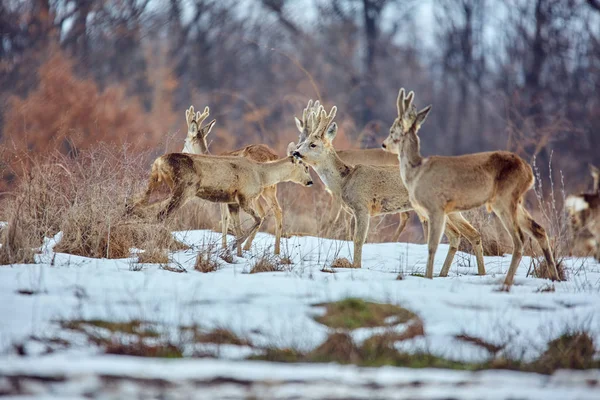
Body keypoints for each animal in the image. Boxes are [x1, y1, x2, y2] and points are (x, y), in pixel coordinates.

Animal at [182, 104, 288, 253]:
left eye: (185, 141)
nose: (182, 152)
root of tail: (271, 156)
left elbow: (225, 218)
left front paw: (224, 247)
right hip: (270, 188)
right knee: (276, 211)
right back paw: (274, 251)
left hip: (252, 190)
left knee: (262, 213)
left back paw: (247, 246)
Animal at [382, 88, 560, 288]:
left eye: (391, 130)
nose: (384, 144)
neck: (416, 171)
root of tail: (529, 172)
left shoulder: (436, 207)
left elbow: (432, 246)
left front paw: (428, 278)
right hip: (516, 201)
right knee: (539, 229)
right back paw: (555, 278)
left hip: (504, 199)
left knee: (519, 239)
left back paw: (506, 283)